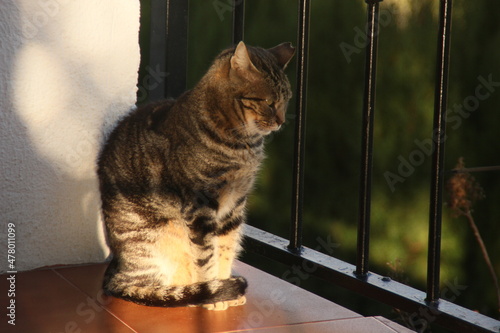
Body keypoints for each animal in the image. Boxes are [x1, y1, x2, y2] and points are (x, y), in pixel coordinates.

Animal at [96, 40, 294, 308]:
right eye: (268, 102)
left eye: (286, 101)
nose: (281, 121)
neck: (243, 146)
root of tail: (116, 272)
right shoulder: (201, 207)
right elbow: (207, 257)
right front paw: (213, 297)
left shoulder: (234, 207)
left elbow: (226, 249)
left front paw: (224, 288)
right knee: (150, 284)